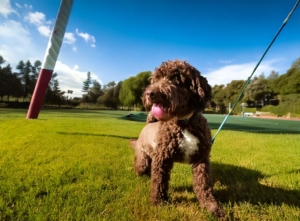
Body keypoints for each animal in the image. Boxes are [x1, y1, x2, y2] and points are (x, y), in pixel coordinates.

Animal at [129, 59, 225, 218]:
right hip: (143, 157)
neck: (184, 122)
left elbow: (204, 185)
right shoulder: (162, 158)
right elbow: (159, 183)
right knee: (140, 166)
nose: (149, 93)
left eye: (175, 77)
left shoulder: (202, 160)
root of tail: (149, 124)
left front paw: (212, 207)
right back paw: (139, 175)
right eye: (155, 79)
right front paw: (158, 203)